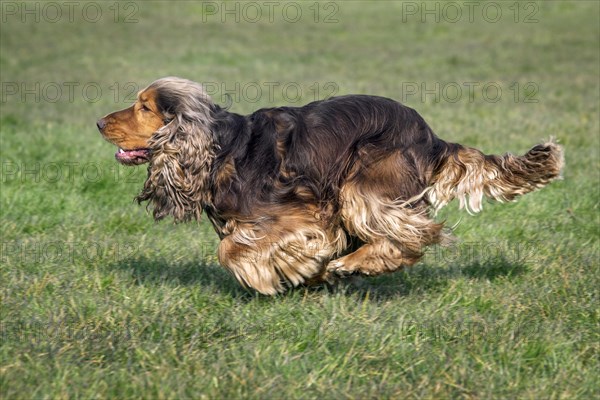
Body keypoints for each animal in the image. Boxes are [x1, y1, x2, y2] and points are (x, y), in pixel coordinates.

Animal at [96, 76, 564, 294]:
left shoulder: (303, 213)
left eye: (143, 107)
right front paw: (307, 271)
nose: (99, 122)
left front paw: (290, 270)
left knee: (416, 236)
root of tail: (433, 138)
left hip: (362, 186)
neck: (218, 148)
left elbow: (229, 249)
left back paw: (351, 265)